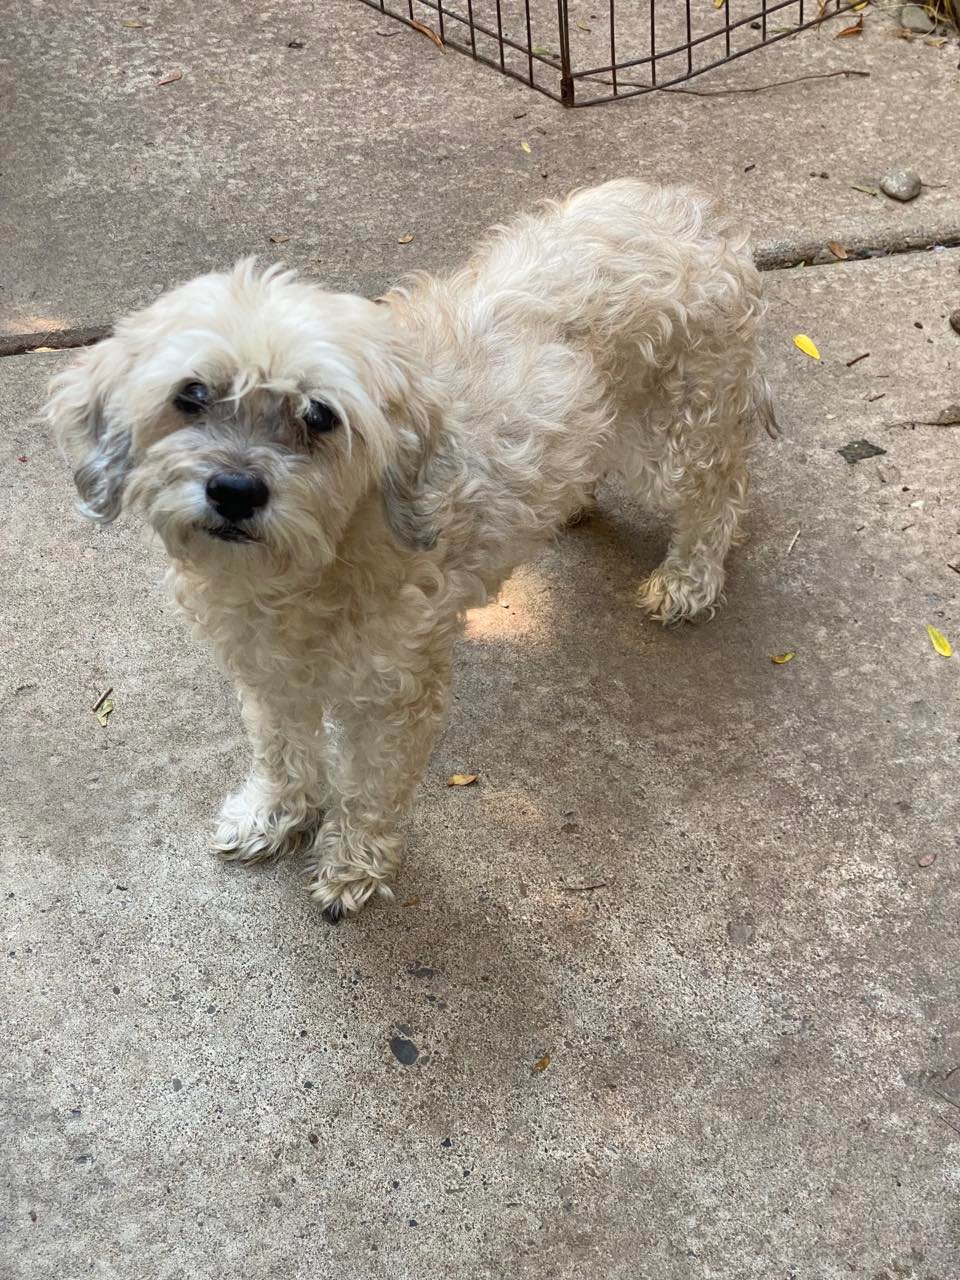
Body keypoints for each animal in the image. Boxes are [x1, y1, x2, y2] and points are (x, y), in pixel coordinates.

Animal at [45, 183, 778, 921]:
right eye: (192, 395)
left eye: (319, 416)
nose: (234, 490)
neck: (311, 566)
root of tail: (685, 209)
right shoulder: (270, 674)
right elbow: (283, 752)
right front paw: (275, 816)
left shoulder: (393, 696)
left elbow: (370, 787)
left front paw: (352, 864)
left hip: (680, 433)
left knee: (721, 490)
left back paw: (689, 577)